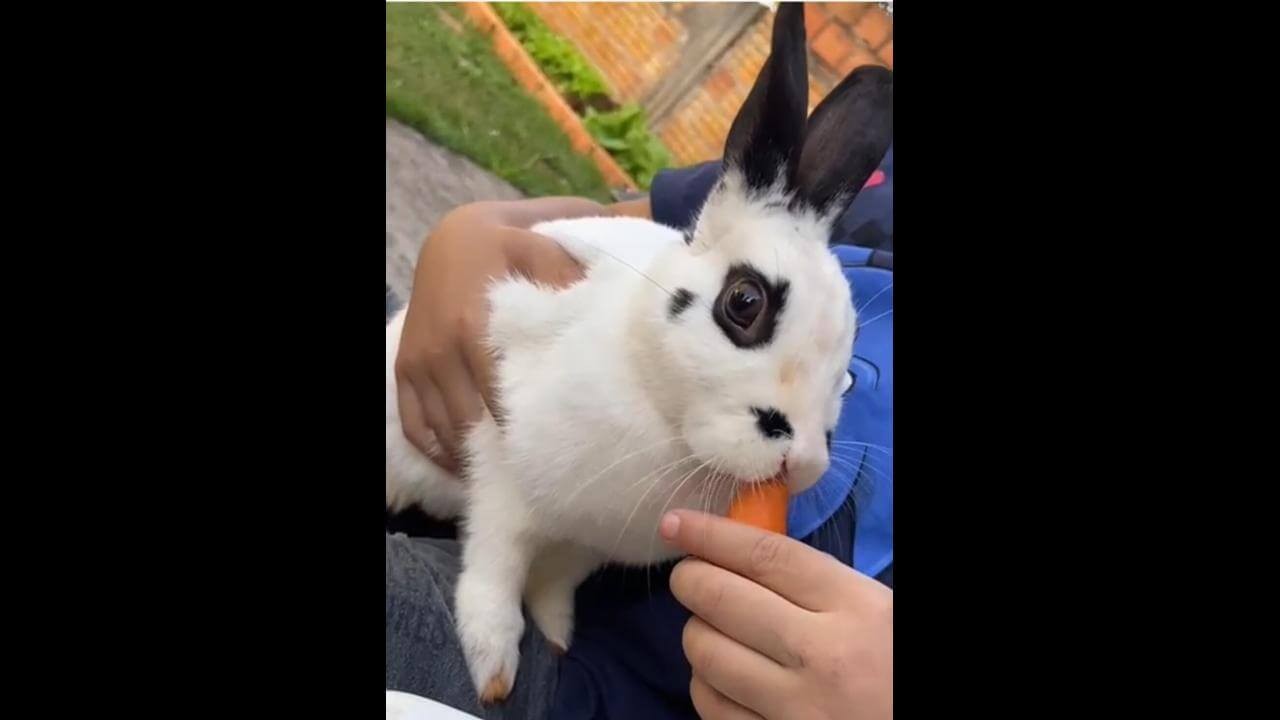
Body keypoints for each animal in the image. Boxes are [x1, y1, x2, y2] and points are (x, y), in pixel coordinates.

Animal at [385, 3, 892, 704]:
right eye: (744, 303)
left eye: (847, 375)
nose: (802, 463)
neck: (664, 423)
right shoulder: (502, 481)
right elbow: (495, 568)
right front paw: (494, 668)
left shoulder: (586, 548)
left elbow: (554, 586)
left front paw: (557, 636)